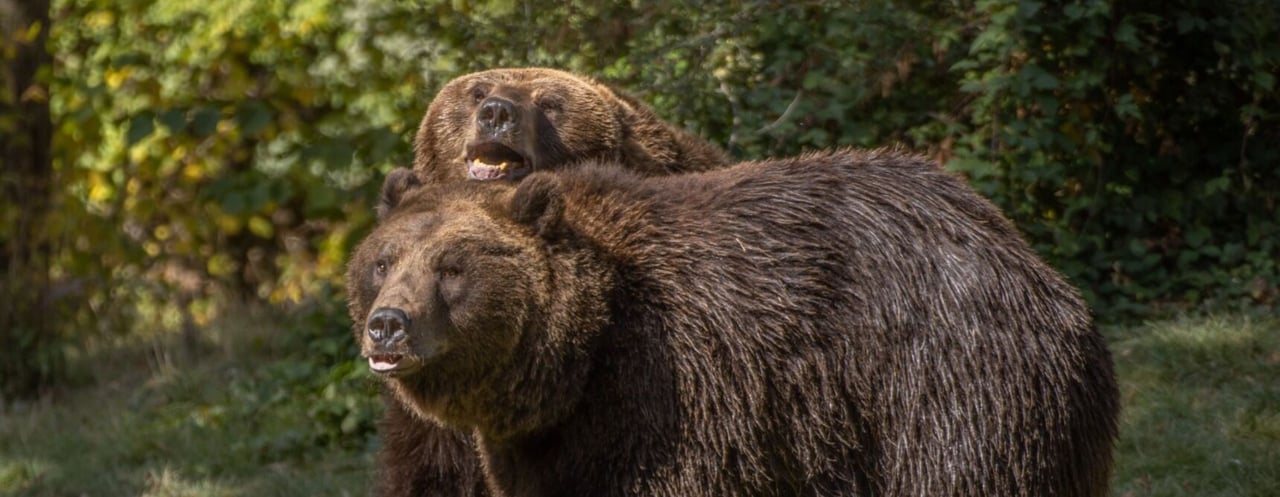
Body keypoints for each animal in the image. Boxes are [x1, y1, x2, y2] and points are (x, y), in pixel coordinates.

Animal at [350, 148, 1121, 496]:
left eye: (452, 266)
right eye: (384, 261)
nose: (387, 325)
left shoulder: (673, 399)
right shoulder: (549, 447)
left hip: (943, 387)